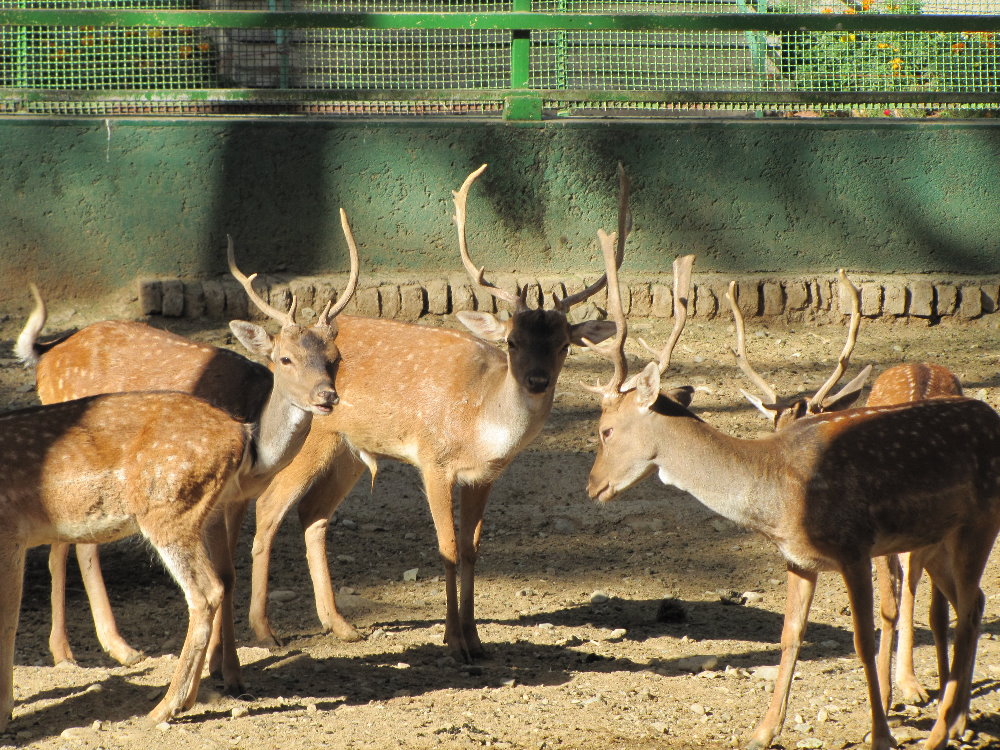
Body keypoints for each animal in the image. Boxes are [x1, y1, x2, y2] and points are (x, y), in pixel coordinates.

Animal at [1, 234, 360, 730]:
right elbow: (222, 578)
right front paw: (217, 676)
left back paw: (118, 650)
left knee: (77, 544)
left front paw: (229, 675)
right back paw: (78, 652)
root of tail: (47, 351)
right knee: (65, 548)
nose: (327, 397)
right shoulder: (222, 500)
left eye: (335, 358)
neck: (256, 439)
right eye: (284, 358)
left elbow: (227, 575)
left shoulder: (230, 500)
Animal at [245, 163, 620, 659]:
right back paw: (265, 632)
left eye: (563, 346)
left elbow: (472, 549)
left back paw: (341, 626)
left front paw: (476, 639)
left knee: (313, 514)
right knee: (269, 506)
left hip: (348, 450)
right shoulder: (433, 461)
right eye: (512, 341)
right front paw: (454, 642)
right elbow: (447, 547)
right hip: (308, 438)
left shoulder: (485, 476)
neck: (479, 421)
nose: (537, 380)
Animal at [726, 281, 964, 711]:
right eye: (774, 432)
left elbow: (901, 606)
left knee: (919, 589)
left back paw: (914, 683)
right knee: (913, 582)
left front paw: (894, 693)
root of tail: (922, 364)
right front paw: (891, 693)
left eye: (812, 427)